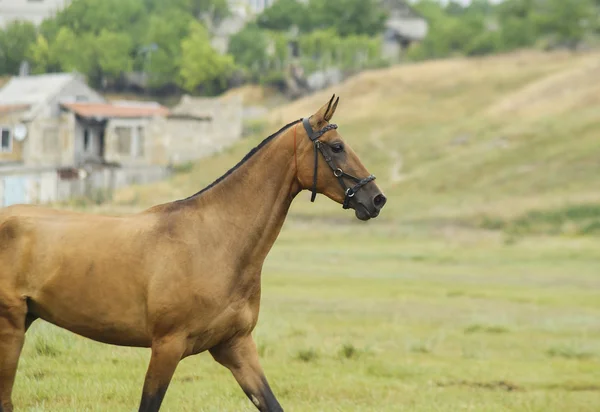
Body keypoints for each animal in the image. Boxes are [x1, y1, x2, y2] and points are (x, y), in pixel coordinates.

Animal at [0, 95, 384, 410]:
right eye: (336, 147)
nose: (376, 199)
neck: (215, 241)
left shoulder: (236, 347)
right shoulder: (166, 347)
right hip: (11, 328)